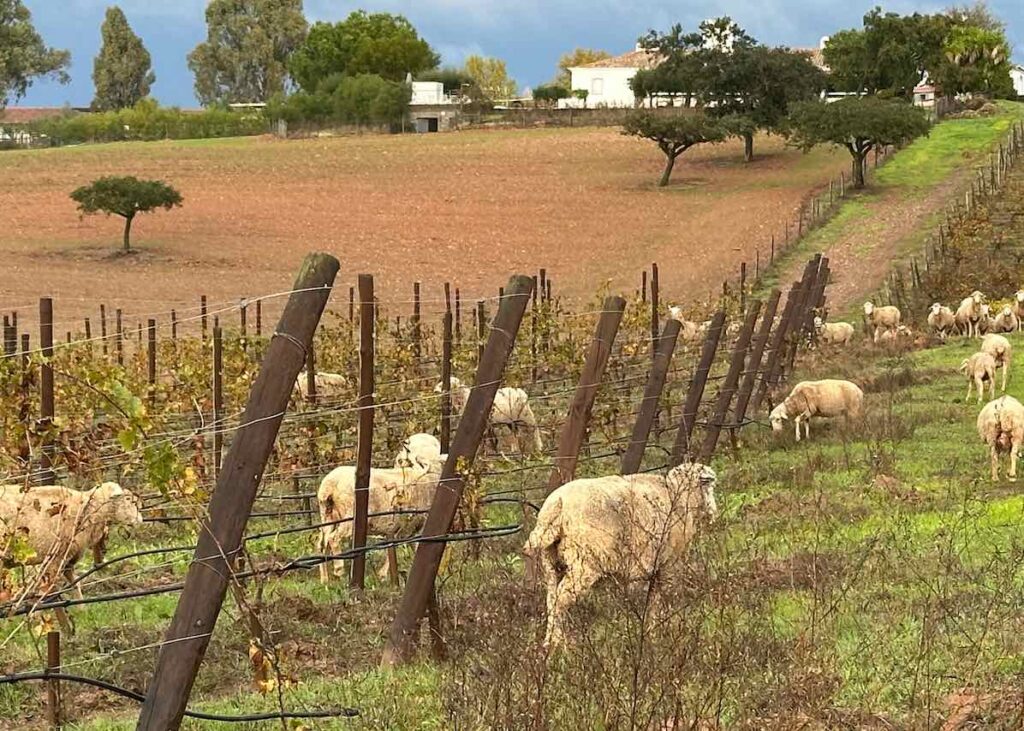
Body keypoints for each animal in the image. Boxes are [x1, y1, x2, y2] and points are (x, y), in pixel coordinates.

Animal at [0, 479, 144, 593]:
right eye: (130, 501)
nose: (140, 521)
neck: (91, 509)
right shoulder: (57, 557)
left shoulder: (68, 559)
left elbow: (75, 585)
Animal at [315, 458, 444, 585]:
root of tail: (329, 485)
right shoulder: (406, 526)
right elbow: (394, 547)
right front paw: (382, 575)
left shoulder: (411, 530)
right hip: (349, 515)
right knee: (333, 538)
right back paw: (338, 569)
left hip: (327, 515)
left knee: (321, 544)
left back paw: (324, 579)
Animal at [524, 460, 716, 642]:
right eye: (710, 487)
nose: (714, 512)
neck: (679, 495)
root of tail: (557, 504)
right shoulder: (669, 564)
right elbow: (662, 599)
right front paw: (659, 632)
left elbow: (652, 600)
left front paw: (649, 632)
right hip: (584, 564)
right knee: (561, 601)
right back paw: (561, 645)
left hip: (550, 561)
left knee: (551, 599)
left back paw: (549, 643)